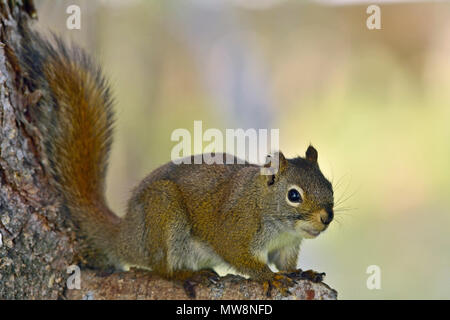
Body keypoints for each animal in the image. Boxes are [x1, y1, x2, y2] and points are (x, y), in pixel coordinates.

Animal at [14, 24, 334, 298]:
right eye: (294, 195)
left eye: (329, 186)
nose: (326, 217)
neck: (266, 209)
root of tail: (125, 235)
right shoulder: (235, 229)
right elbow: (241, 258)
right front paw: (269, 277)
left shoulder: (286, 246)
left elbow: (286, 263)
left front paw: (301, 273)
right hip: (163, 212)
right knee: (162, 270)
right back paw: (186, 274)